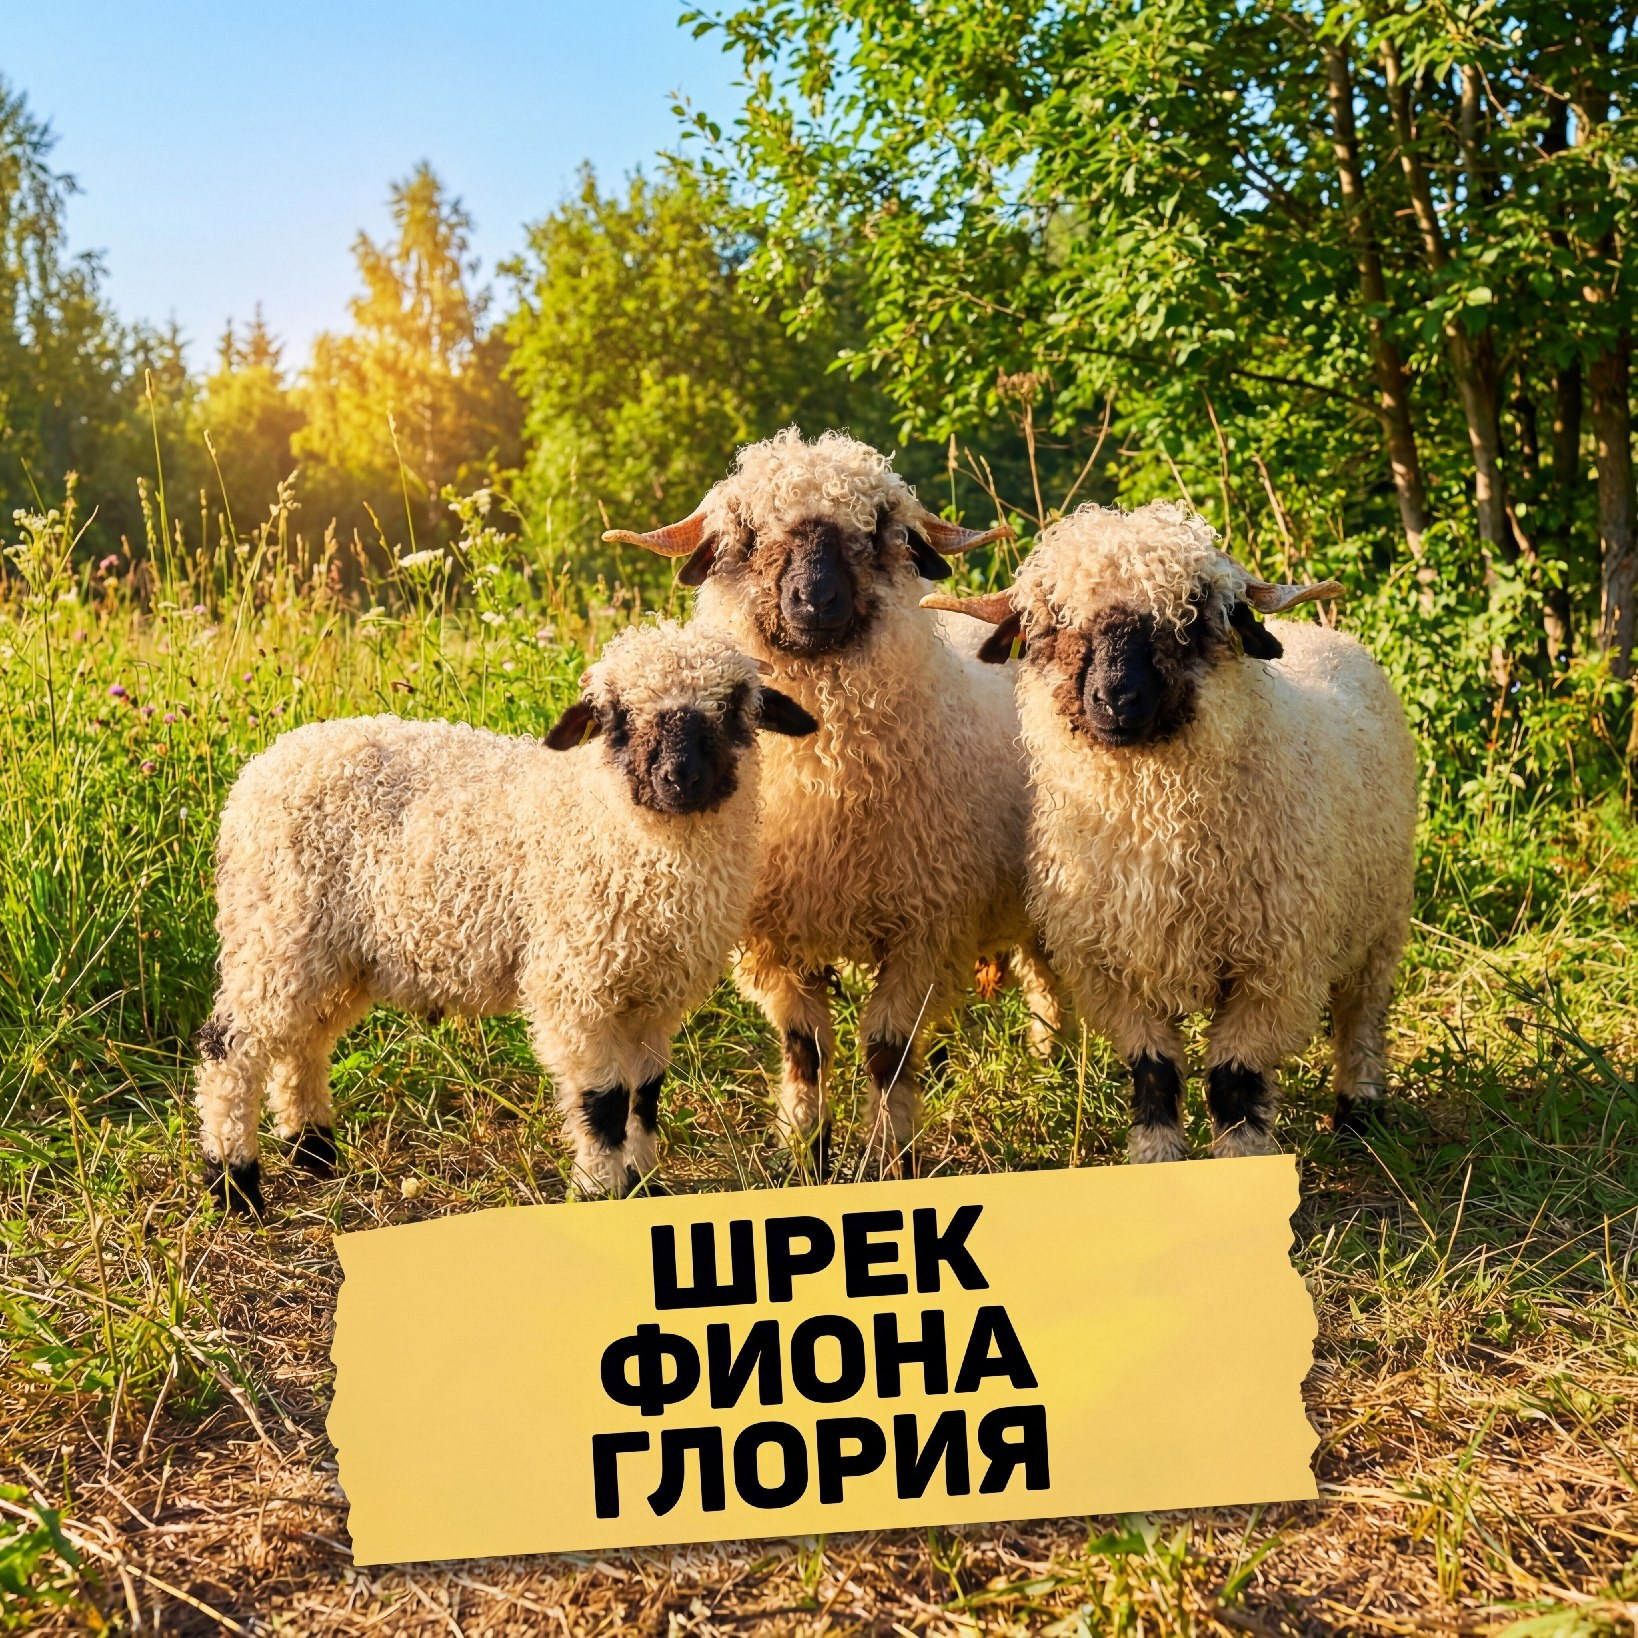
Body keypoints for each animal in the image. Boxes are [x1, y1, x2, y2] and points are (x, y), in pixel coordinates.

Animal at [194, 619, 817, 1213]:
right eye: (617, 715)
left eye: (733, 708)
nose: (680, 778)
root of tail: (265, 766)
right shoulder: (575, 984)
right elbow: (604, 1102)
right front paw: (598, 1191)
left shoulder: (650, 996)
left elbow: (644, 1096)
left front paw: (644, 1187)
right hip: (276, 929)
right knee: (231, 1049)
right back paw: (234, 1183)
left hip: (335, 952)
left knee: (303, 1043)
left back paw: (313, 1150)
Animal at [603, 428, 1064, 1176]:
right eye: (748, 533)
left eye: (876, 530)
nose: (815, 599)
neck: (829, 781)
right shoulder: (775, 937)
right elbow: (805, 1049)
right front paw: (807, 1150)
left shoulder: (923, 929)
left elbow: (886, 1050)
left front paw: (890, 1155)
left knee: (1047, 976)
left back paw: (1056, 1062)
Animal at [925, 500, 1417, 1160]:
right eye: (1050, 626)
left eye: (1190, 619)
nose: (1116, 699)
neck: (1157, 822)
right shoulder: (1113, 968)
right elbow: (1154, 1075)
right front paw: (1156, 1159)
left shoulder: (1273, 970)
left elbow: (1235, 1082)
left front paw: (1240, 1164)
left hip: (1382, 918)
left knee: (1361, 1016)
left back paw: (1358, 1110)